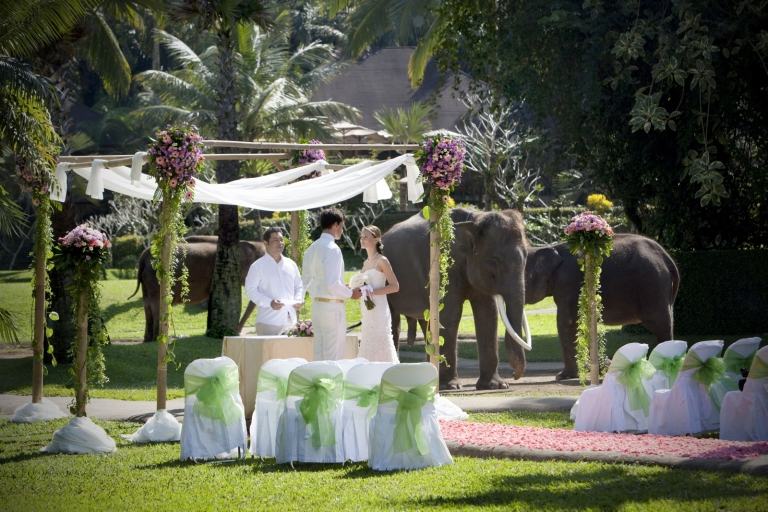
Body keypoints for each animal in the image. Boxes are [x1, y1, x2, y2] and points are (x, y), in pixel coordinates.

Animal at [130, 235, 266, 340]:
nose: (237, 331)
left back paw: (149, 339)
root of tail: (143, 256)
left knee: (147, 304)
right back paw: (159, 338)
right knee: (157, 303)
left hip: (147, 279)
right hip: (156, 277)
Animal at [384, 207, 536, 388]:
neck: (474, 218)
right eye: (494, 261)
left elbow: (488, 314)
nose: (514, 375)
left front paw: (495, 386)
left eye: (527, 256)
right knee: (393, 322)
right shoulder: (443, 265)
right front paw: (451, 385)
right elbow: (450, 313)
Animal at [528, 233, 680, 380]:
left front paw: (562, 377)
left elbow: (567, 323)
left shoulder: (567, 285)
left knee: (661, 325)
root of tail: (666, 257)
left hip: (653, 286)